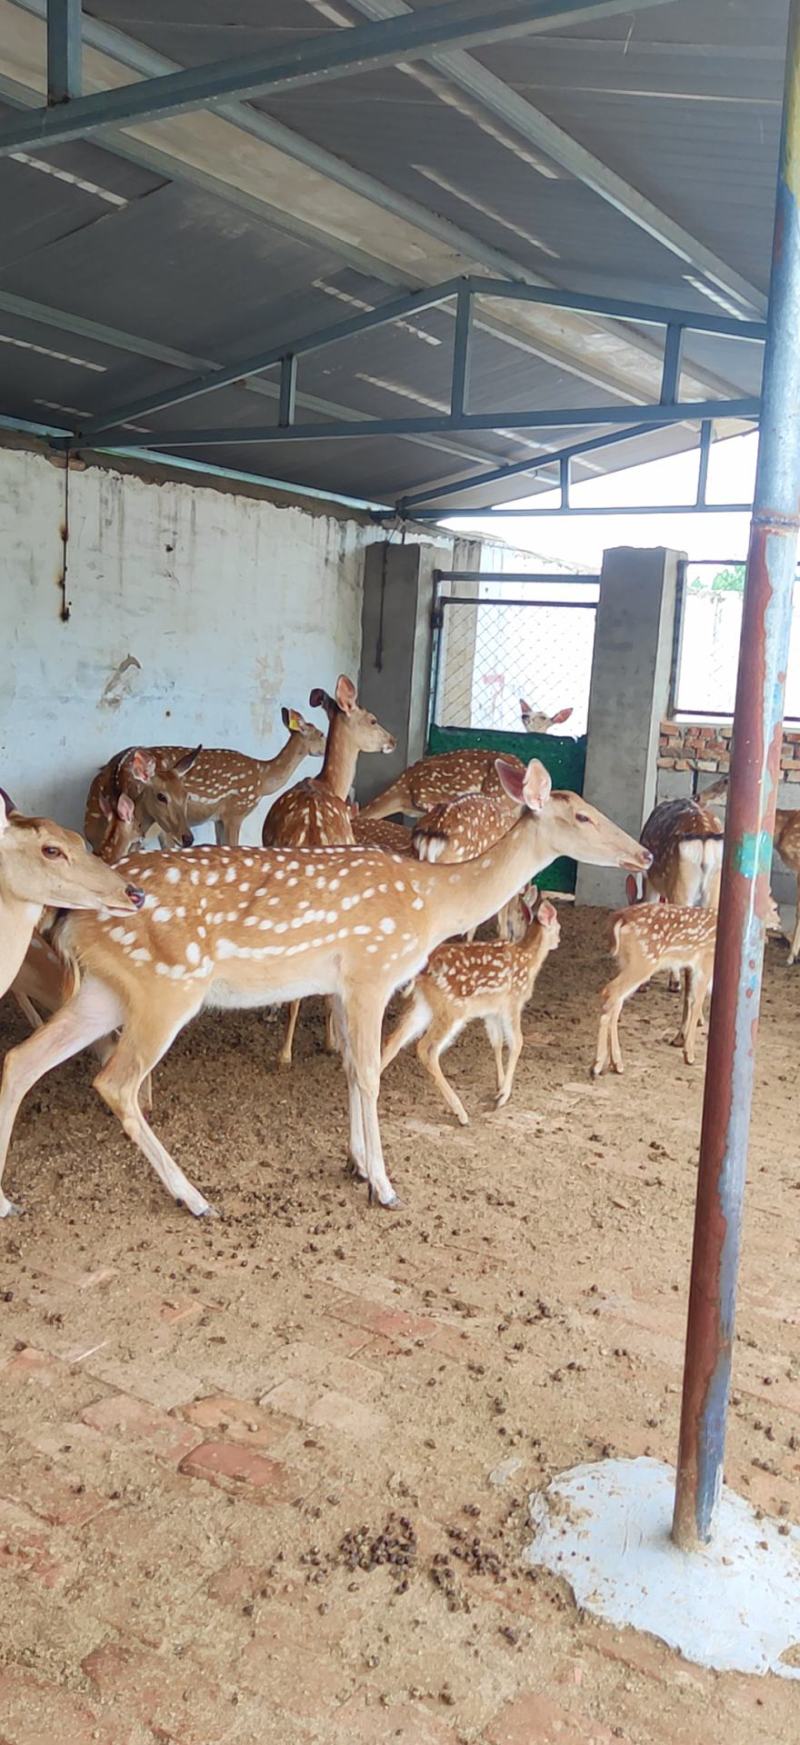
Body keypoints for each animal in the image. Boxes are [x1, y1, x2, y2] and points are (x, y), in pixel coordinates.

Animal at [381, 886, 559, 1124]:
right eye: (557, 923)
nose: (559, 939)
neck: (528, 959)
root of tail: (422, 973)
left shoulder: (491, 1011)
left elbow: (496, 1042)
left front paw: (499, 1086)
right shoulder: (513, 1002)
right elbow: (517, 1042)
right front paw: (504, 1095)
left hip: (424, 1006)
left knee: (393, 1040)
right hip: (453, 1008)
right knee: (427, 1048)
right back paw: (461, 1113)